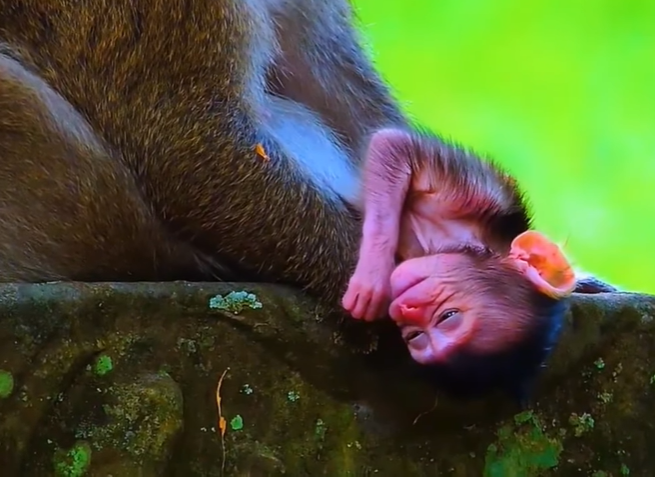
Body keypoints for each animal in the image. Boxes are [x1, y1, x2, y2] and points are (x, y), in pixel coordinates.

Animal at [342, 127, 578, 403]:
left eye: (416, 336)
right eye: (449, 316)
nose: (407, 308)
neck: (445, 243)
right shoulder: (478, 199)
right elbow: (393, 145)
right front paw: (372, 277)